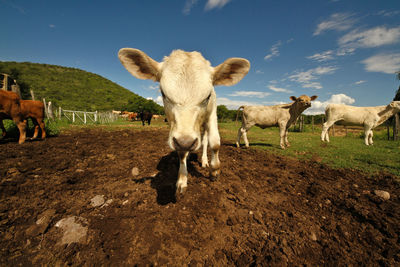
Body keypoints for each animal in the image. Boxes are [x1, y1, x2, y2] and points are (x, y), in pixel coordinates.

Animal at [118, 48, 250, 195]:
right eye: (163, 93)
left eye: (208, 96)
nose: (186, 142)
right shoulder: (175, 129)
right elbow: (181, 153)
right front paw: (182, 180)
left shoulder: (212, 114)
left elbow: (215, 143)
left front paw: (214, 171)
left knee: (205, 141)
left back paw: (205, 160)